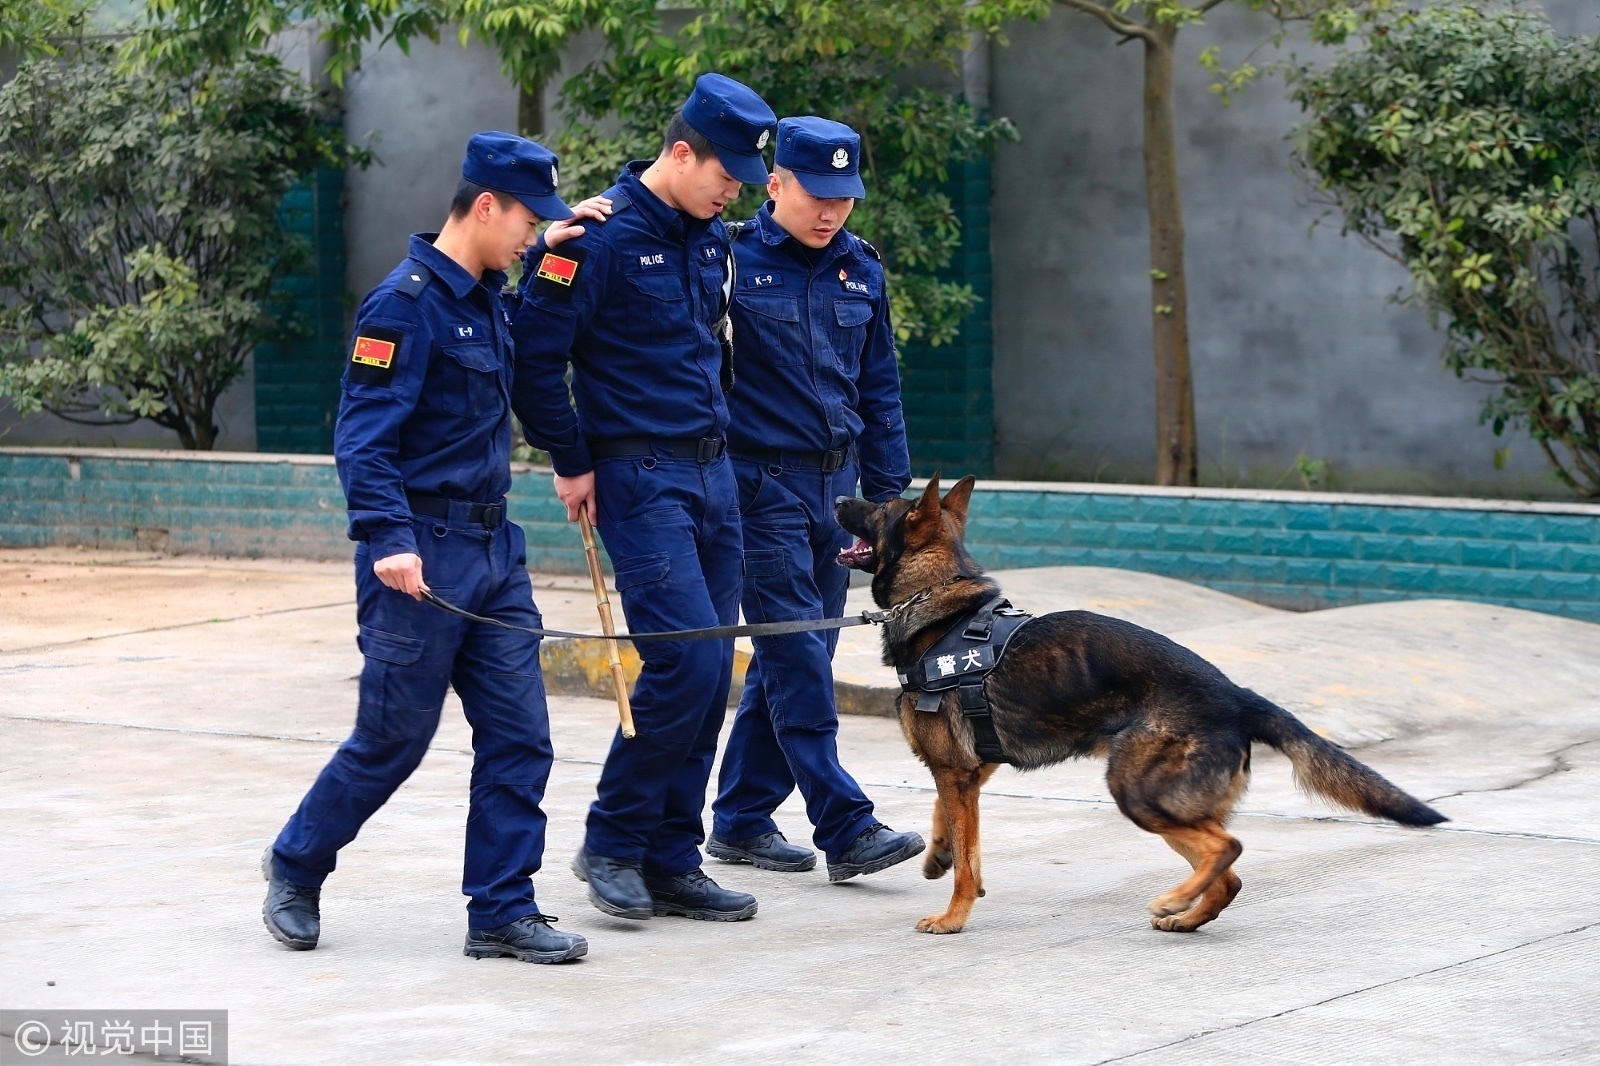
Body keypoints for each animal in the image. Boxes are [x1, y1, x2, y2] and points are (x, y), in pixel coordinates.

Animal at [832, 473, 1446, 928]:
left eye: (878, 507)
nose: (836, 496)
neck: (937, 604)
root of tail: (1236, 695)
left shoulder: (957, 771)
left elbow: (965, 855)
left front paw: (954, 916)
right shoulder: (968, 772)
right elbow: (959, 835)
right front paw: (940, 856)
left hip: (1137, 790)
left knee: (1228, 848)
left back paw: (1175, 901)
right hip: (1168, 803)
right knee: (1228, 871)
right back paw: (1186, 916)